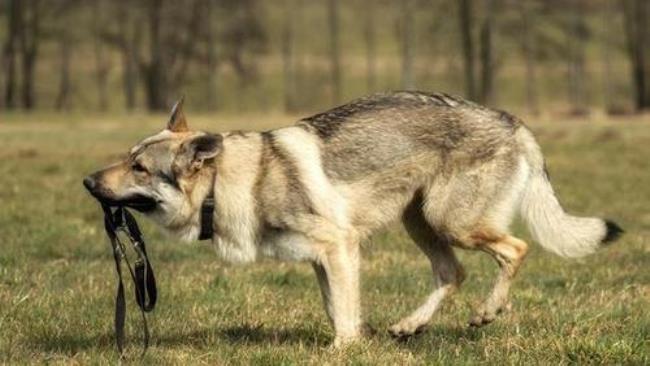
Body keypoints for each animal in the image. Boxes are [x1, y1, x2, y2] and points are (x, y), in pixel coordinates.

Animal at [83, 91, 620, 346]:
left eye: (139, 167)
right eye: (127, 157)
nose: (87, 181)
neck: (233, 182)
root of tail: (512, 120)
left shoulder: (339, 248)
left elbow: (343, 318)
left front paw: (342, 352)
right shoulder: (322, 261)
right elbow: (340, 309)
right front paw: (359, 339)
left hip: (451, 222)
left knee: (515, 249)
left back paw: (487, 312)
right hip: (420, 222)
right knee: (453, 273)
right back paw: (409, 327)